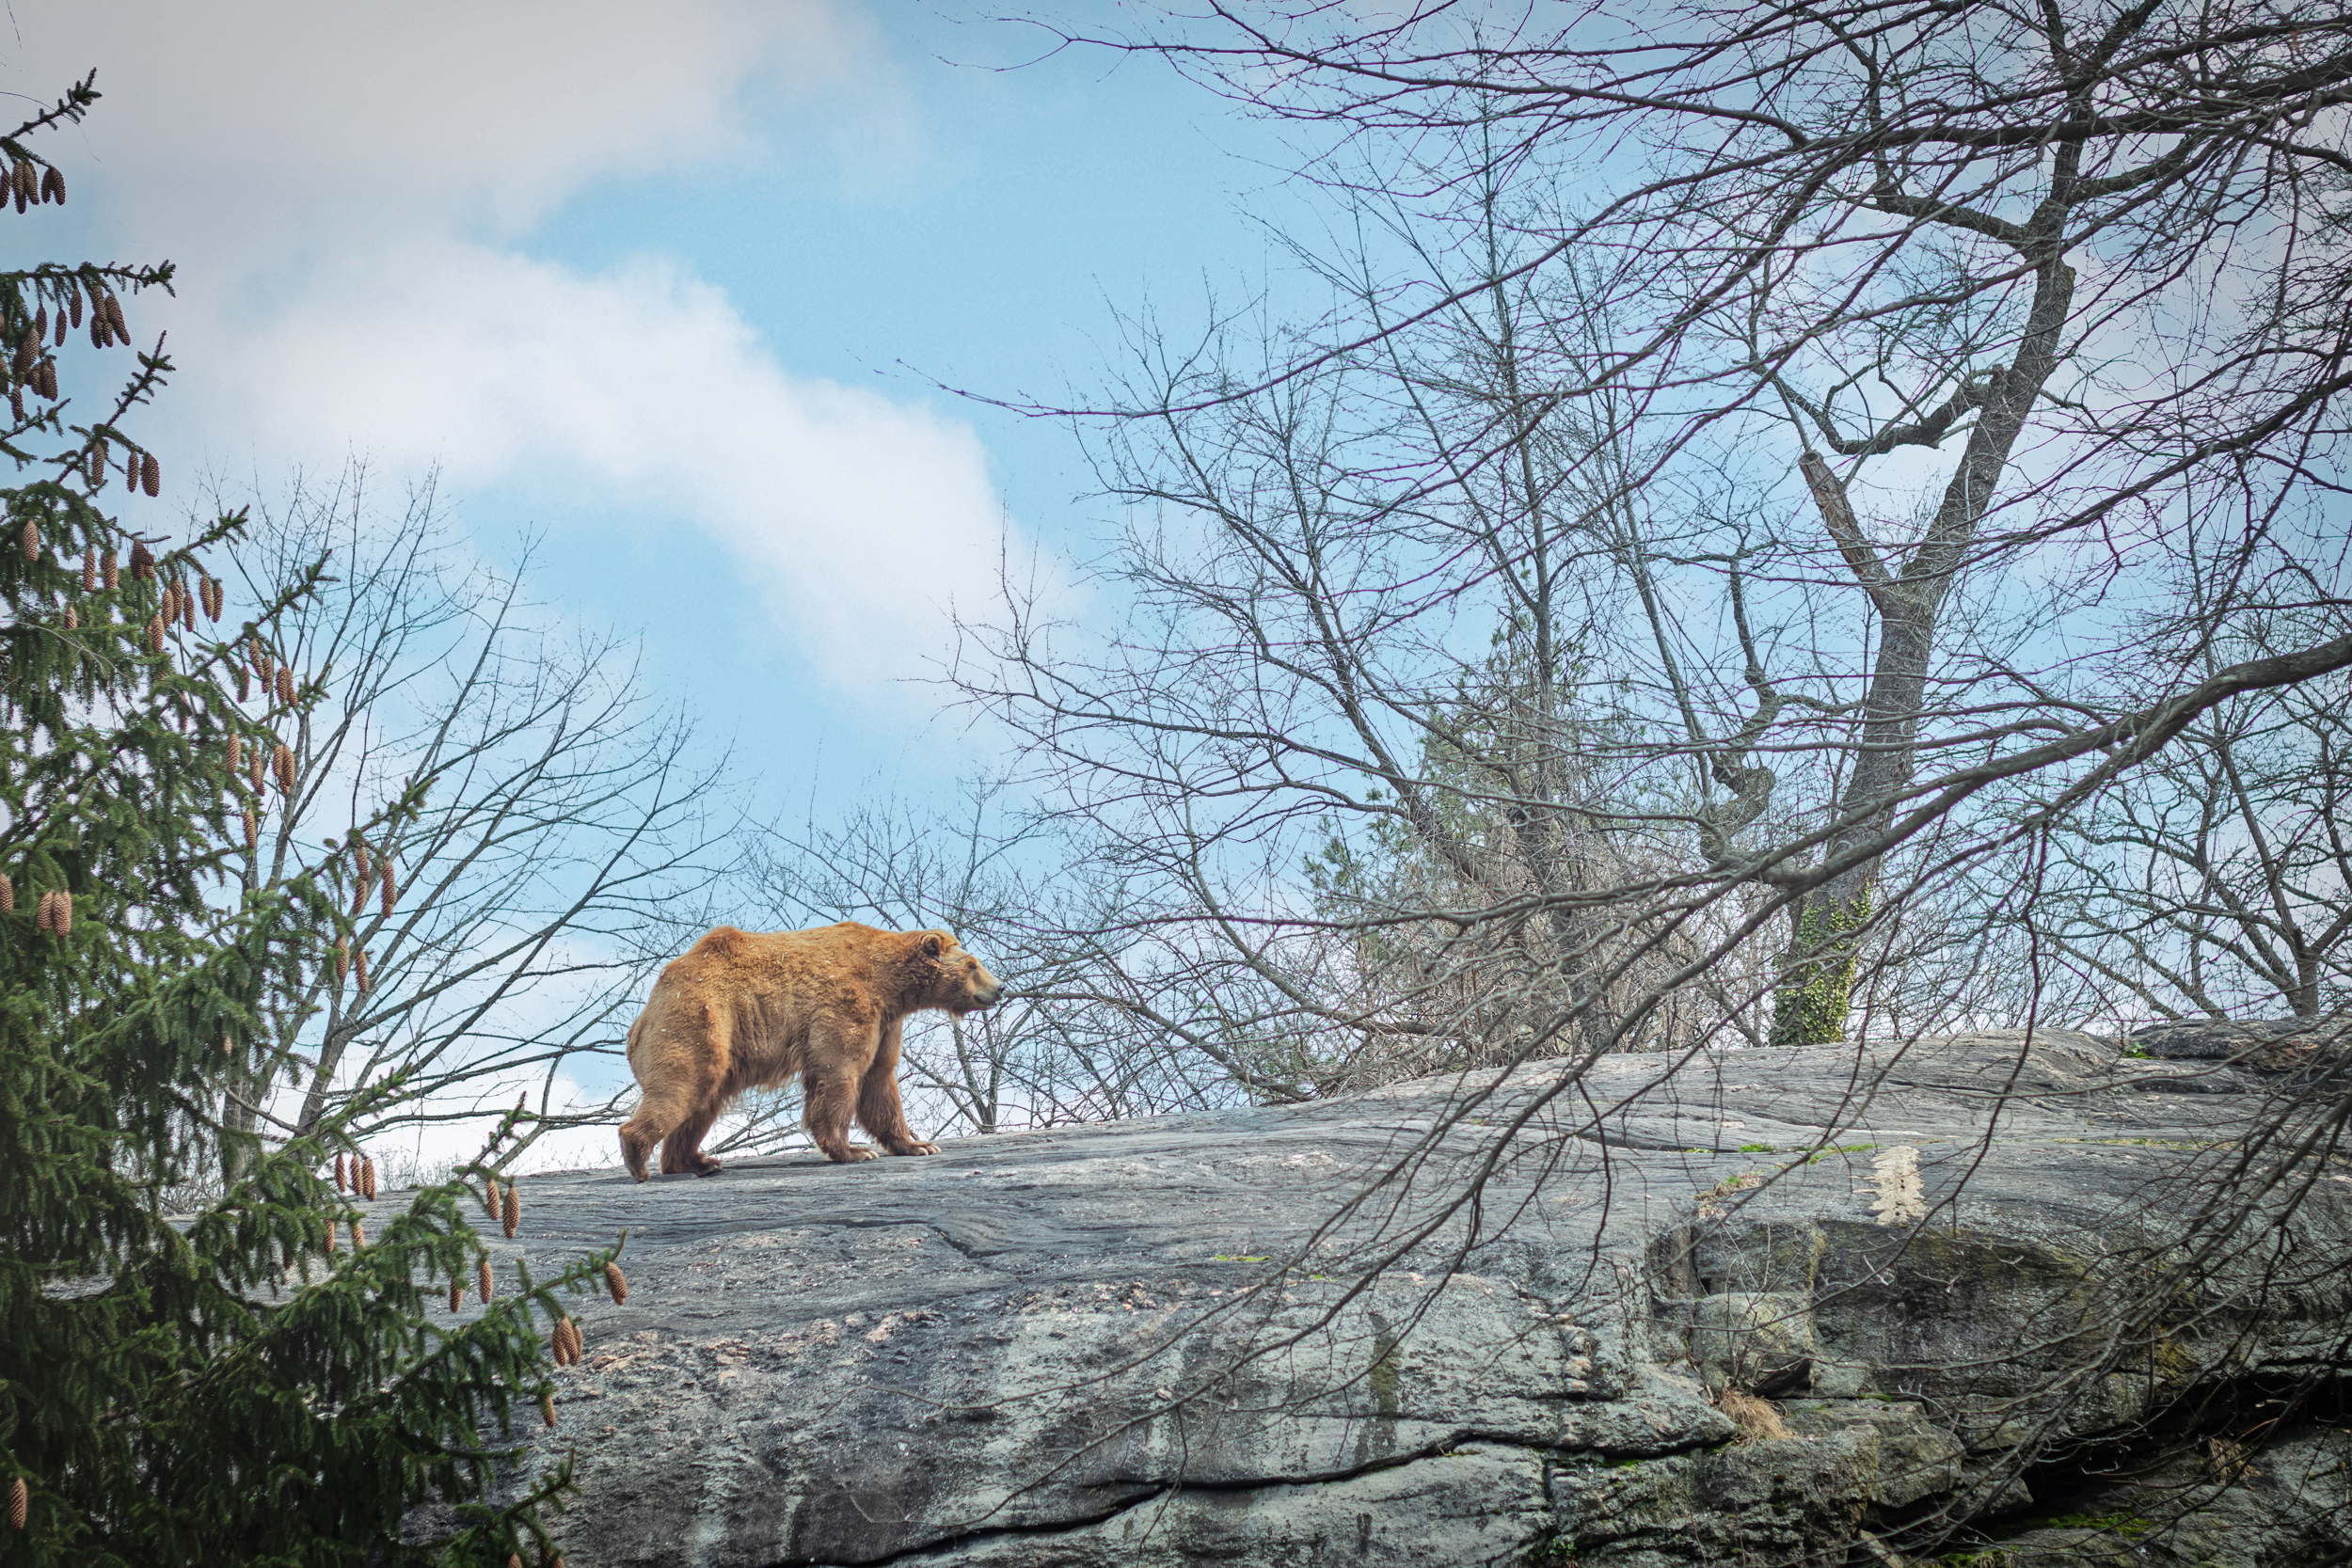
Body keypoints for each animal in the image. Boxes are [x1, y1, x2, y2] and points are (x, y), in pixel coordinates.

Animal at [616, 922, 1002, 1179]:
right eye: (973, 964)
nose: (1000, 988)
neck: (889, 981)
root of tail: (646, 1011)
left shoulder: (887, 1020)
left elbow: (880, 1079)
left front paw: (917, 1145)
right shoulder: (847, 1002)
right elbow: (839, 1071)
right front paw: (854, 1151)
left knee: (702, 1102)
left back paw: (697, 1161)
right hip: (700, 1017)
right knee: (683, 1083)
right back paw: (637, 1156)